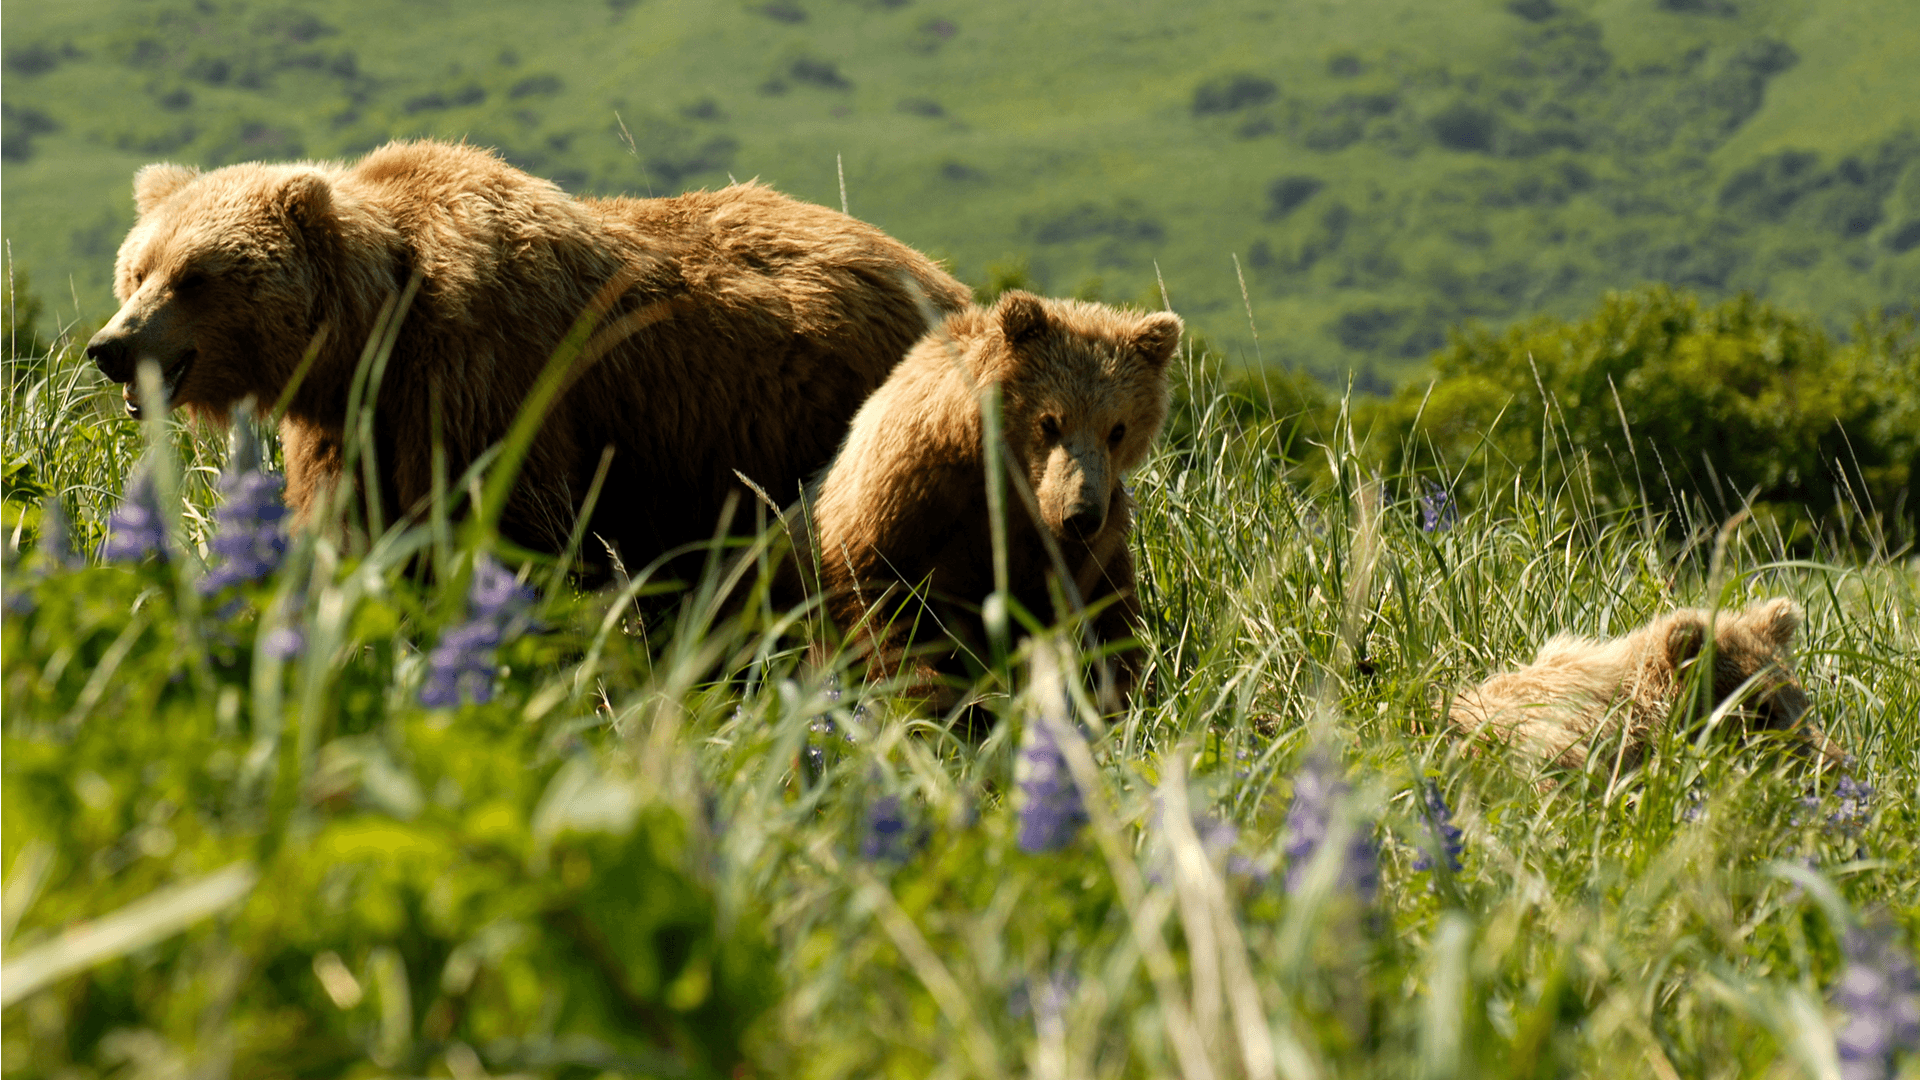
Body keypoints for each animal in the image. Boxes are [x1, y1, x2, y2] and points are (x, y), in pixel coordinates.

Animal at [84, 139, 970, 572]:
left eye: (195, 276)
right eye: (137, 268)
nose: (110, 347)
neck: (378, 327)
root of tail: (942, 278)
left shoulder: (479, 372)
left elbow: (503, 517)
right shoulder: (354, 420)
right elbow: (346, 523)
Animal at [801, 289, 1182, 708]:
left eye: (1117, 429)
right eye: (1050, 421)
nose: (1079, 514)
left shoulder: (1079, 548)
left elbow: (1105, 619)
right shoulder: (902, 504)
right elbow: (879, 608)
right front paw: (927, 695)